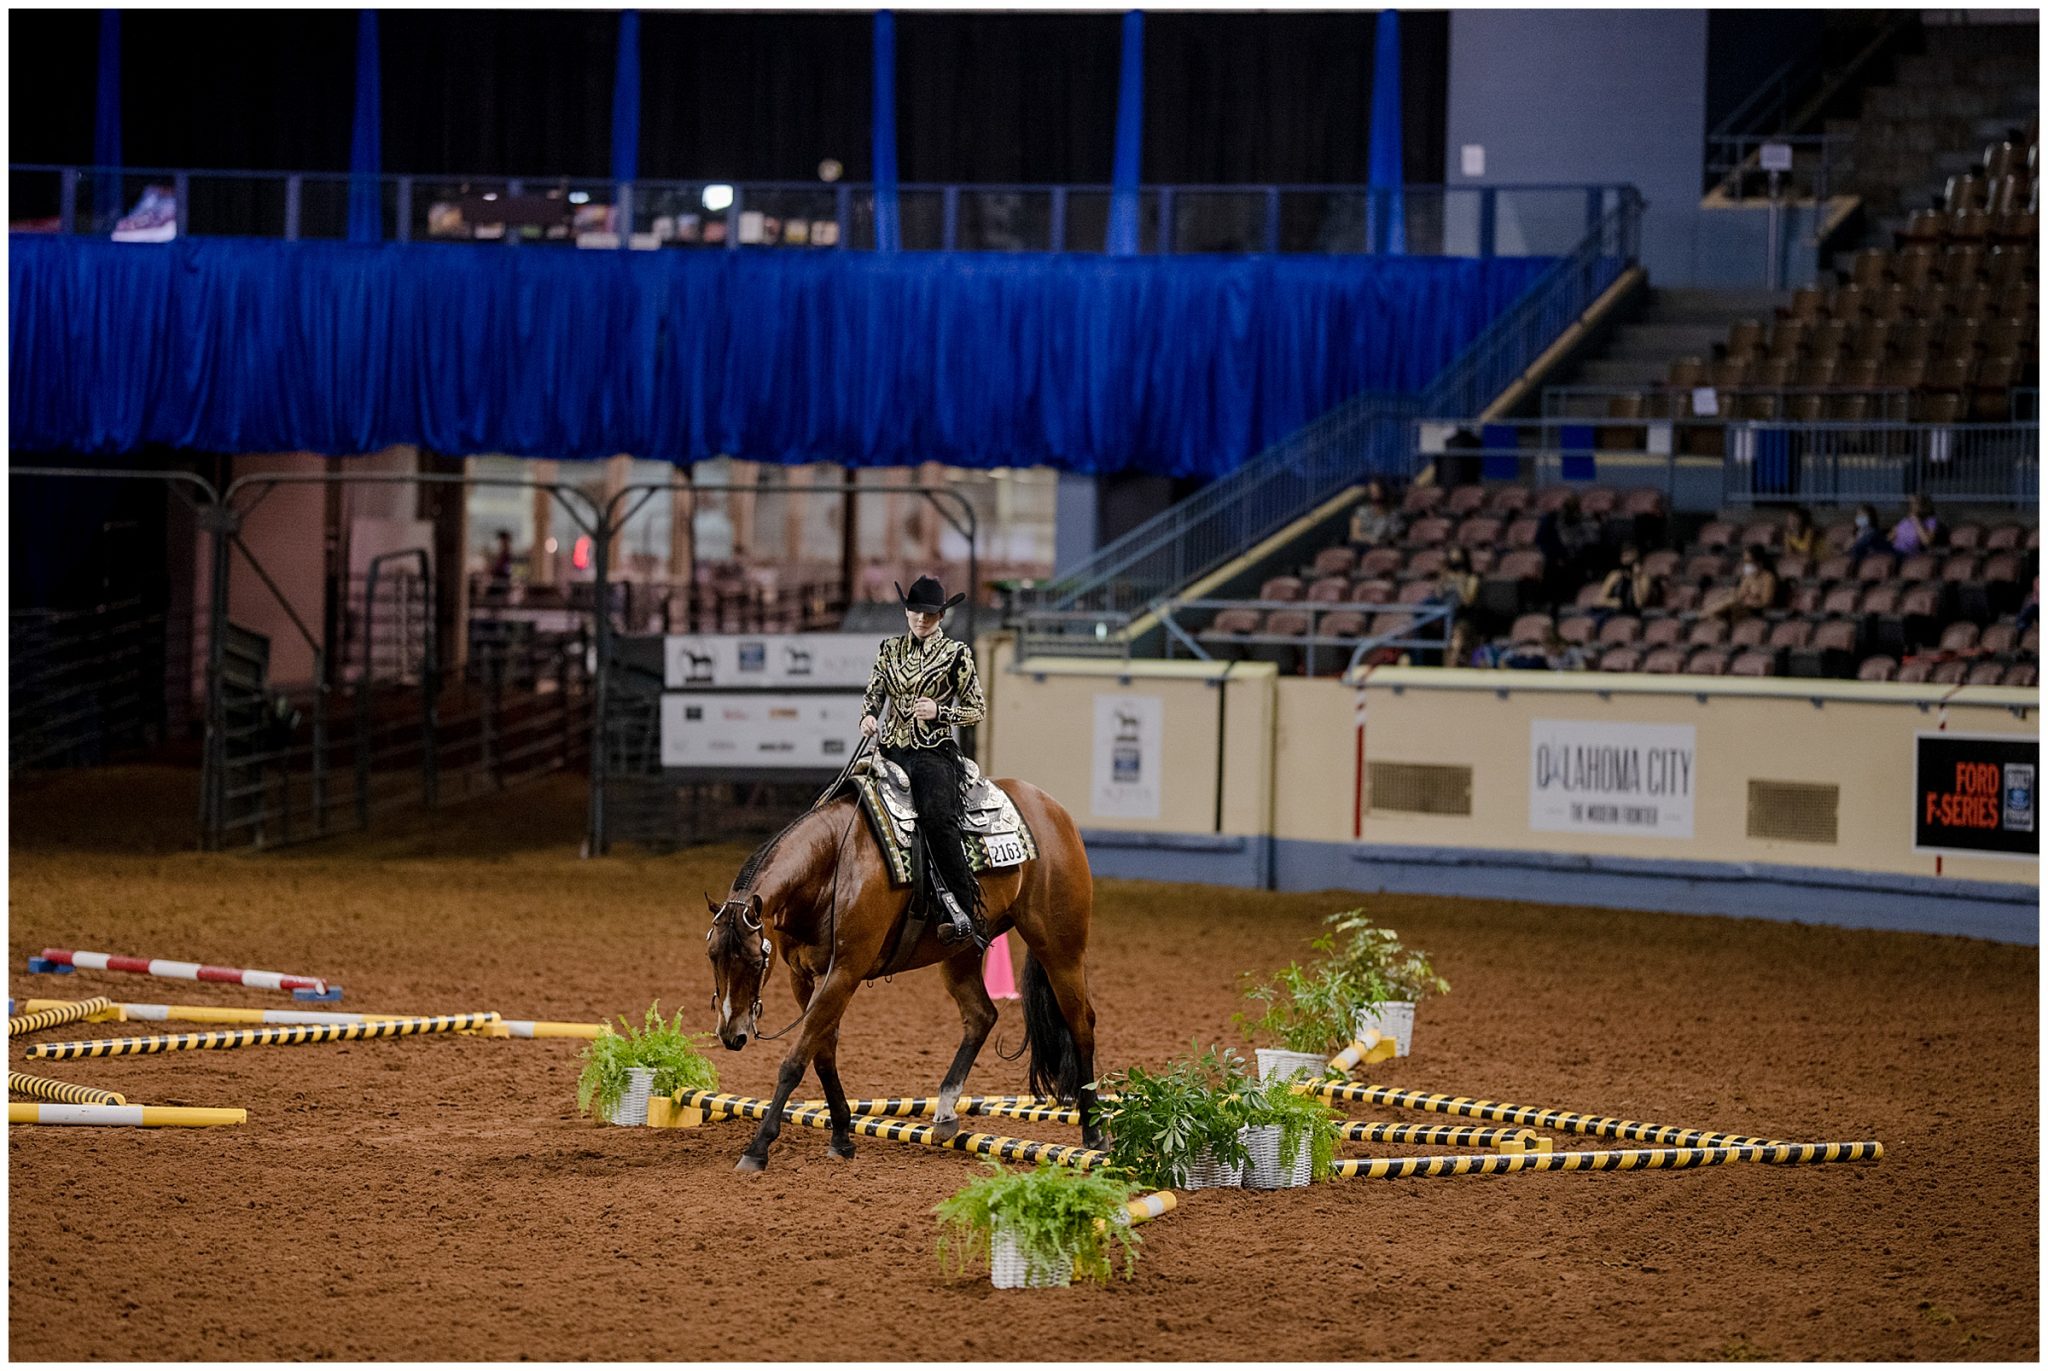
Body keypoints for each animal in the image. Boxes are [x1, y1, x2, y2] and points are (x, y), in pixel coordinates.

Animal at [704, 774, 1097, 1172]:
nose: (731, 1034)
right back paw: (945, 1112)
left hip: (1060, 949)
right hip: (961, 954)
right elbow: (822, 1053)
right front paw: (842, 1136)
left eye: (756, 961)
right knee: (982, 1015)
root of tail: (1051, 808)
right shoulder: (803, 976)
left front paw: (758, 1148)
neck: (833, 866)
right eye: (712, 956)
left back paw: (1095, 1136)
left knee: (1081, 1024)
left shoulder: (843, 973)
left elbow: (795, 1060)